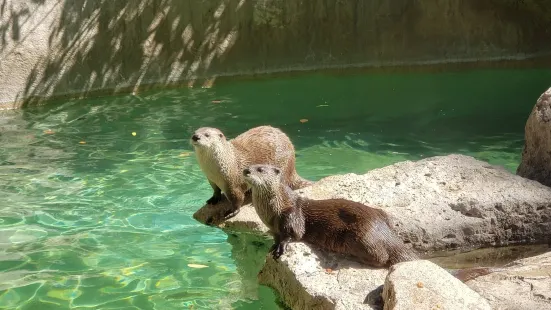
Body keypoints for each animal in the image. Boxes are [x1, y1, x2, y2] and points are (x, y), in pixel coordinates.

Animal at [246, 163, 504, 282]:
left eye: (260, 168)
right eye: (249, 166)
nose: (246, 170)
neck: (272, 210)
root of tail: (384, 232)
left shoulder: (292, 215)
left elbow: (294, 234)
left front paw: (280, 248)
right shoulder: (273, 225)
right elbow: (275, 235)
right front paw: (273, 244)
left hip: (360, 237)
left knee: (381, 258)